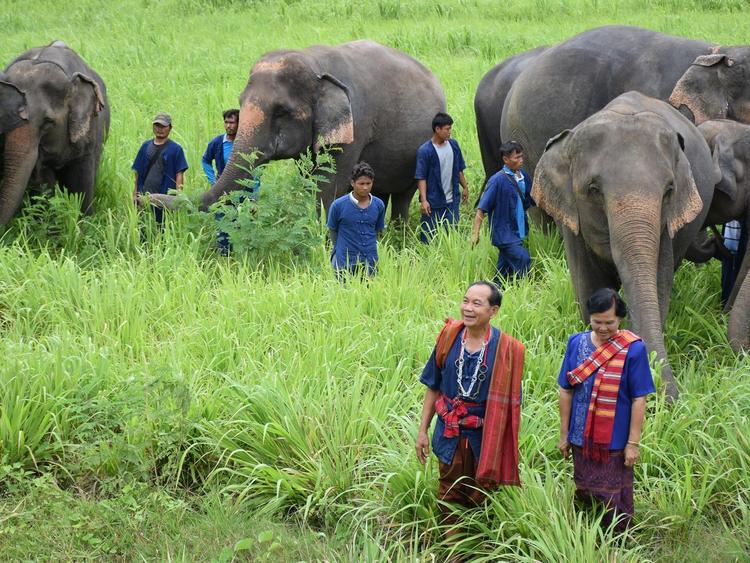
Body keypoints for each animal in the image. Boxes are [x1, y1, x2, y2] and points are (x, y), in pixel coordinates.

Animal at [151, 39, 450, 220]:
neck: (315, 63)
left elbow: (329, 183)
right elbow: (309, 177)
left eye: (281, 111)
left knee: (402, 196)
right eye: (240, 102)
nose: (144, 198)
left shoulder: (356, 123)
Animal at [536, 91, 724, 400]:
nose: (670, 399)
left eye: (669, 191)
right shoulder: (572, 223)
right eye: (594, 190)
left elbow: (657, 285)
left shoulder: (665, 230)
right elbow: (588, 288)